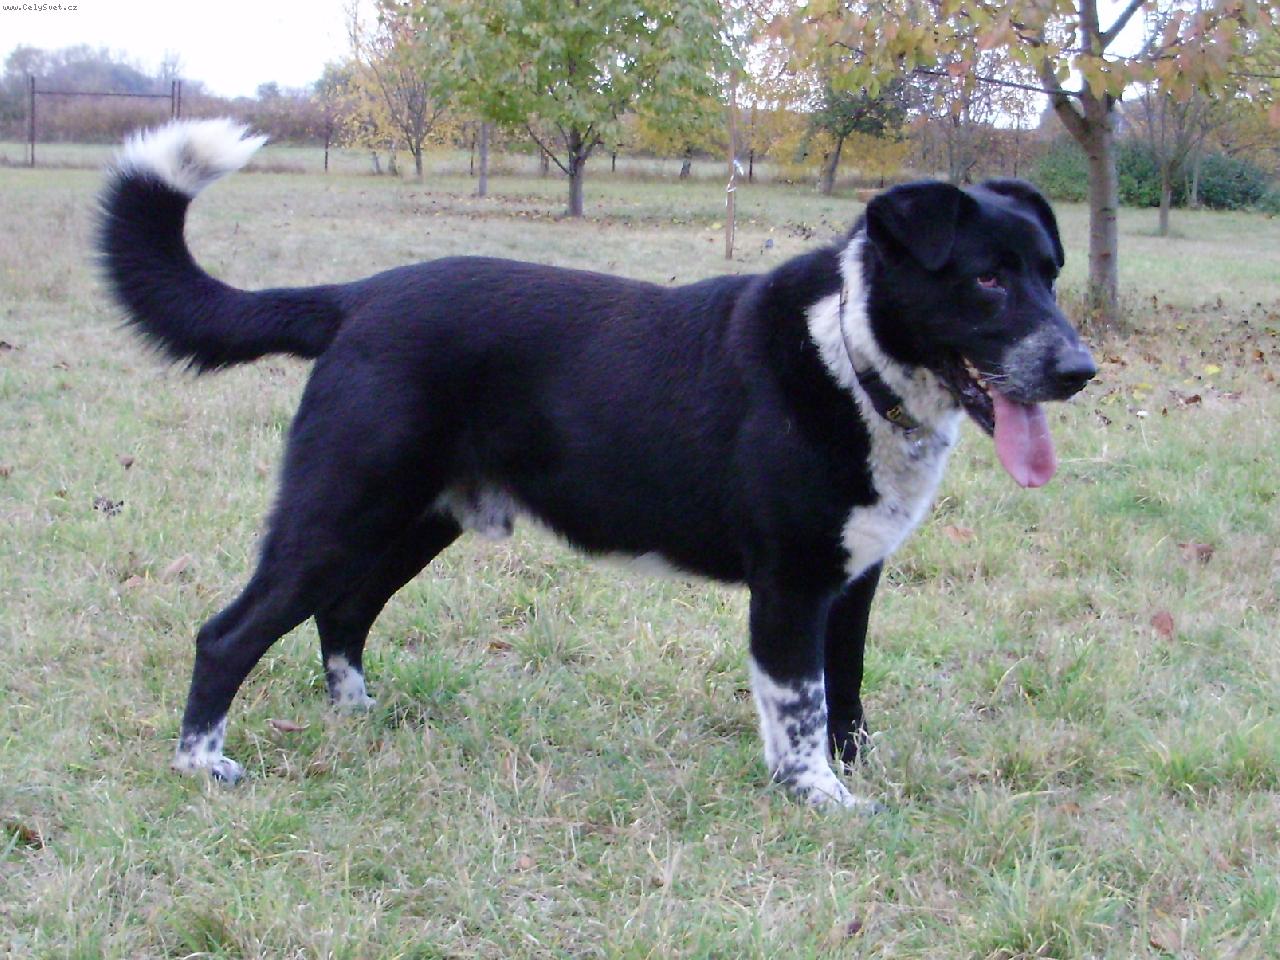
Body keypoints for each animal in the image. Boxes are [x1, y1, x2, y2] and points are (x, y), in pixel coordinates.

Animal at [97, 119, 1095, 809]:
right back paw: (200, 762)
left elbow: (844, 696)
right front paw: (817, 796)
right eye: (987, 279)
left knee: (343, 611)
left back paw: (357, 714)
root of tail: (357, 299)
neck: (847, 352)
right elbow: (801, 706)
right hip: (338, 510)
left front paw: (852, 773)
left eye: (1050, 272)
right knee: (229, 633)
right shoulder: (791, 586)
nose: (1080, 370)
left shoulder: (853, 581)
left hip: (413, 520)